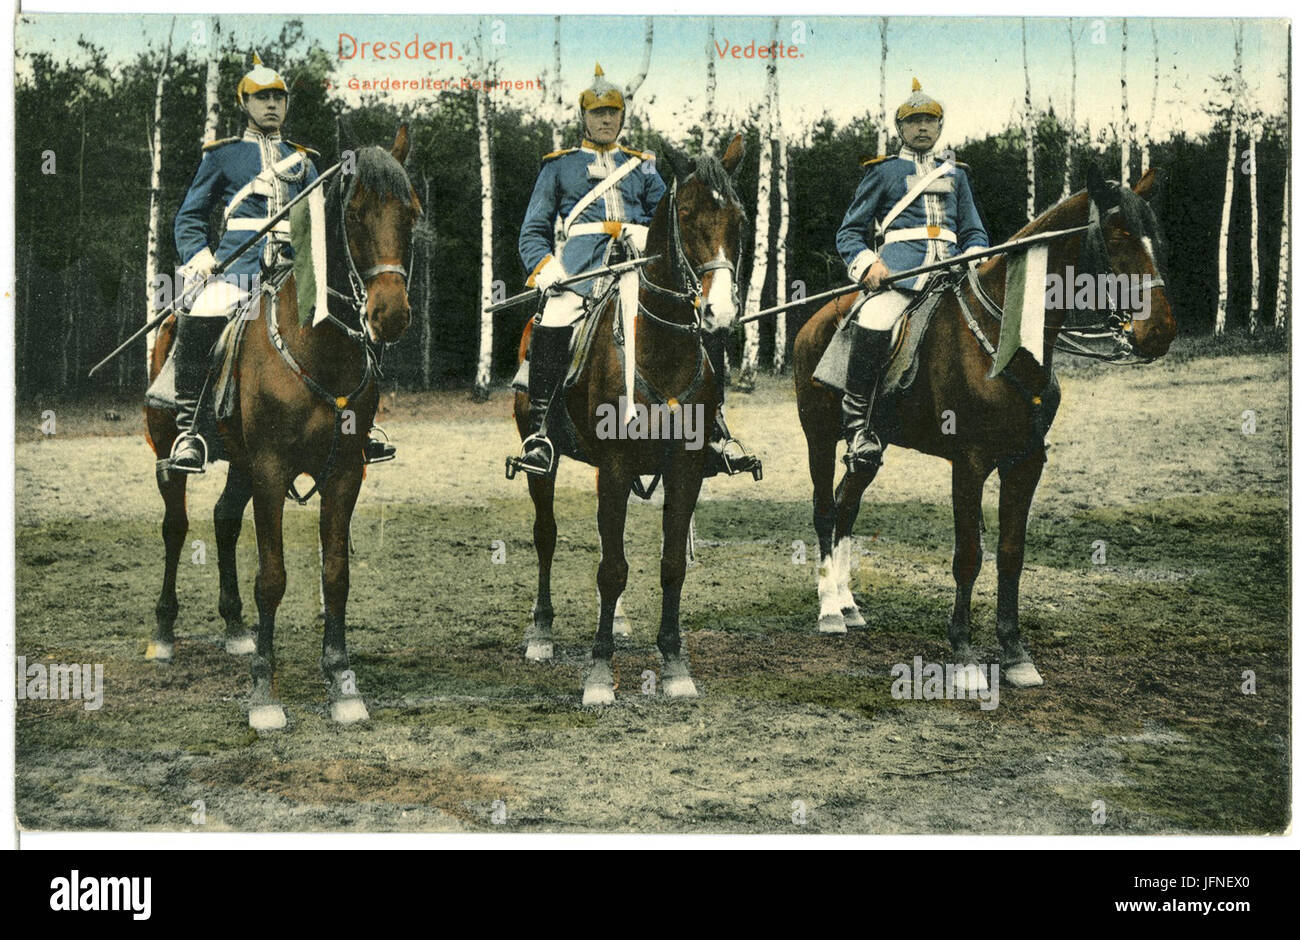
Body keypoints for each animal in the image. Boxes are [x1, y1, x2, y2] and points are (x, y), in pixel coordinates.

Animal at [147, 124, 421, 728]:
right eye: (355, 213)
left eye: (411, 213)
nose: (391, 315)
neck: (317, 346)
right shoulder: (273, 470)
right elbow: (271, 577)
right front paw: (264, 694)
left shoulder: (344, 472)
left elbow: (335, 573)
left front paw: (342, 682)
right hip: (168, 453)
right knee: (176, 527)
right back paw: (163, 633)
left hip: (240, 462)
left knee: (224, 520)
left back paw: (234, 628)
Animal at [512, 132, 748, 707]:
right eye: (686, 214)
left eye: (738, 217)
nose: (720, 314)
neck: (662, 349)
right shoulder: (617, 466)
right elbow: (613, 569)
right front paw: (599, 673)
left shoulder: (684, 468)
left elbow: (670, 565)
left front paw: (675, 664)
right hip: (544, 463)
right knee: (546, 535)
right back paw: (541, 633)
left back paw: (616, 623)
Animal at [790, 165, 1180, 686]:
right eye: (1118, 233)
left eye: (1156, 233)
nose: (1159, 332)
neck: (1005, 338)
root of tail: (815, 320)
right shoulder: (969, 462)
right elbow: (969, 555)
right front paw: (964, 653)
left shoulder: (1026, 461)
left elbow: (1011, 554)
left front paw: (1015, 653)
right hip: (817, 436)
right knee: (824, 510)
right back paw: (830, 610)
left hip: (871, 447)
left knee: (846, 506)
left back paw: (848, 603)